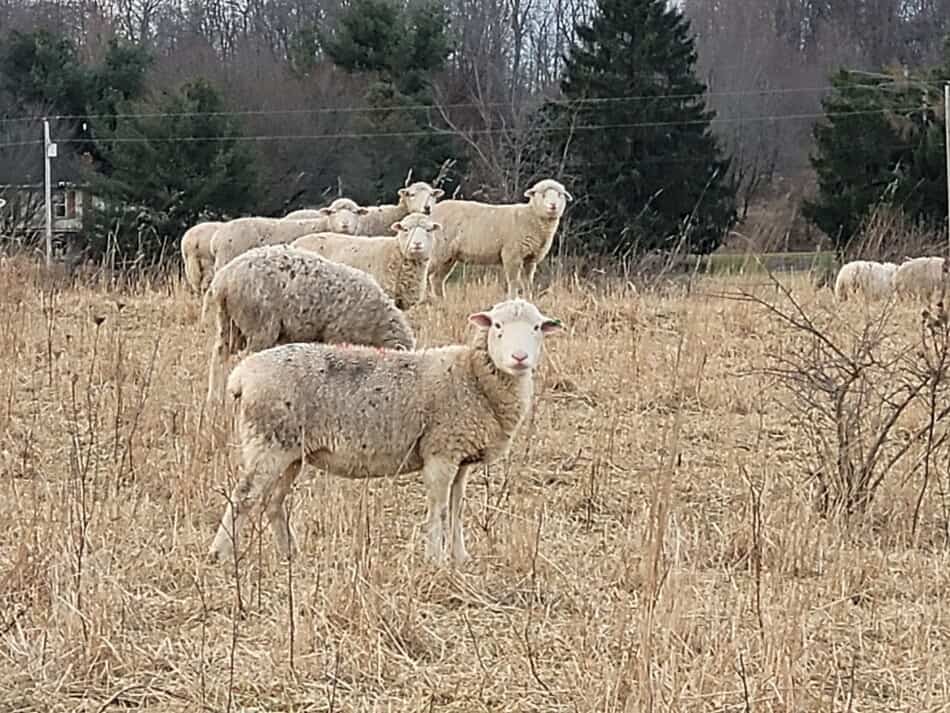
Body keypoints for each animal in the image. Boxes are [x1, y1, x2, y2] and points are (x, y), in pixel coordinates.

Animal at [206, 243, 414, 406]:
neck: (377, 325)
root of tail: (223, 280)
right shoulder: (337, 335)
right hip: (259, 323)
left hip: (228, 322)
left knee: (219, 356)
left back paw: (215, 400)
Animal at [208, 294, 564, 560]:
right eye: (498, 326)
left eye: (536, 327)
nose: (520, 358)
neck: (474, 376)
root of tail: (242, 375)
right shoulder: (440, 452)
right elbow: (438, 508)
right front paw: (435, 560)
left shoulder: (461, 456)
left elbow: (457, 507)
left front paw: (460, 558)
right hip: (267, 442)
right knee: (244, 496)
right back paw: (220, 554)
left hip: (290, 451)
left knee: (273, 501)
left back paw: (290, 554)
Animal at [211, 199, 368, 274]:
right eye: (333, 212)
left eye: (355, 212)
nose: (345, 225)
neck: (322, 225)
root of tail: (217, 238)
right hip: (226, 258)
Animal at [430, 179, 576, 302]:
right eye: (543, 195)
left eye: (559, 194)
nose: (553, 205)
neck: (531, 216)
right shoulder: (512, 254)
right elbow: (513, 281)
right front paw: (512, 301)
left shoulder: (530, 258)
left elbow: (527, 283)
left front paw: (529, 302)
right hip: (438, 250)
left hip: (448, 257)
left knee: (437, 279)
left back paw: (442, 301)